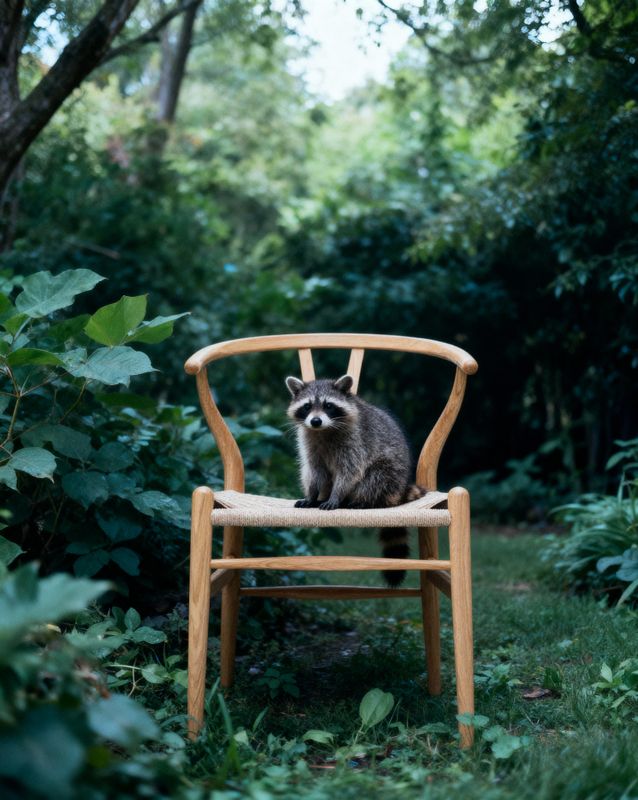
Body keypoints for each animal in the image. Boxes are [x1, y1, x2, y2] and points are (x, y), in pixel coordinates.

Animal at [285, 374, 426, 586]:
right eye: (307, 406)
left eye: (328, 405)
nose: (316, 421)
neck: (323, 430)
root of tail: (398, 490)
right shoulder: (310, 441)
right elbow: (315, 471)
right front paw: (311, 494)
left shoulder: (355, 441)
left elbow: (350, 471)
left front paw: (336, 496)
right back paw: (321, 498)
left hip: (390, 473)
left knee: (375, 478)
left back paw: (361, 501)